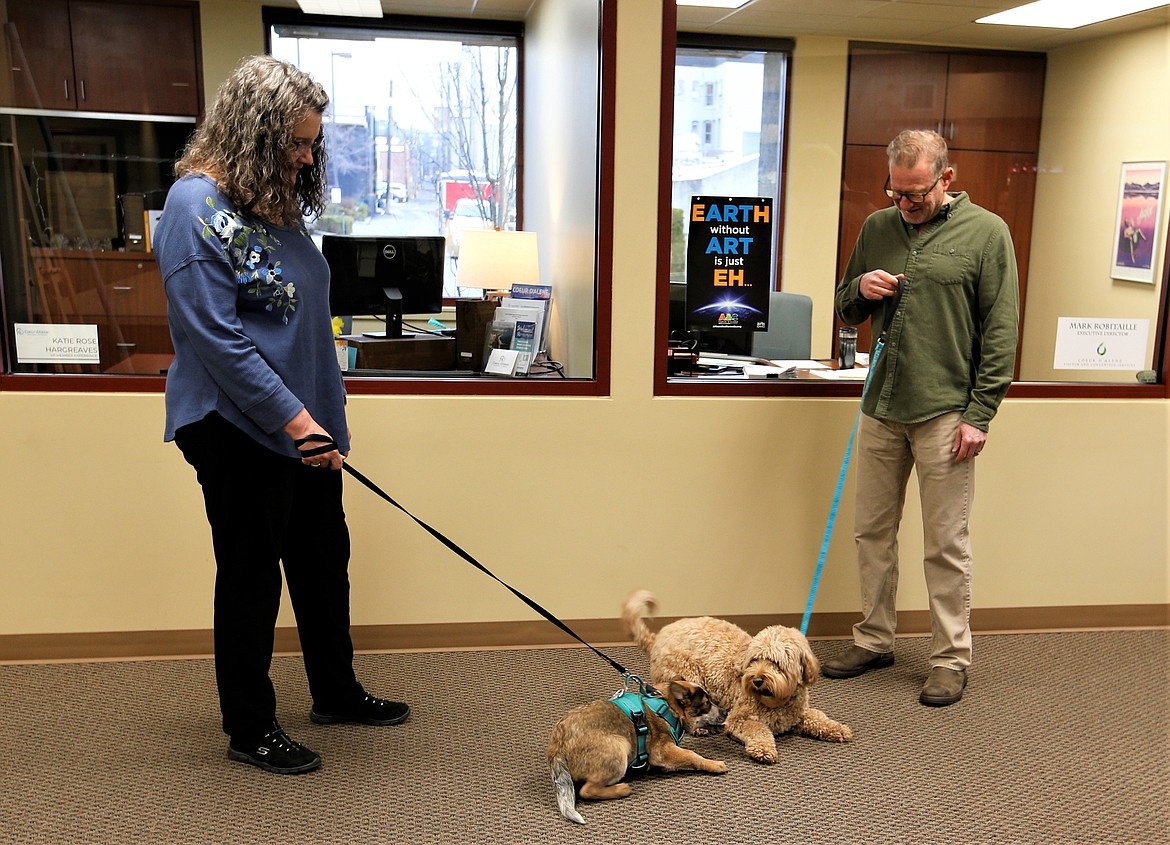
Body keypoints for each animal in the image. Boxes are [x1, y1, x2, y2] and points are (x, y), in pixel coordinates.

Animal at [545, 674, 725, 819]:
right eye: (706, 703)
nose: (725, 712)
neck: (667, 705)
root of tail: (556, 746)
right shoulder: (661, 751)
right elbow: (691, 754)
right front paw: (714, 764)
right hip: (620, 748)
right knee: (587, 790)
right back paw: (621, 789)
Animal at [622, 585, 851, 763]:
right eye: (755, 659)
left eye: (775, 662)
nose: (757, 680)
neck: (777, 702)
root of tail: (658, 637)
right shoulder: (740, 718)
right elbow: (758, 730)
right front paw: (763, 749)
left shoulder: (800, 713)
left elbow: (818, 718)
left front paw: (837, 728)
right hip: (687, 677)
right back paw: (701, 728)